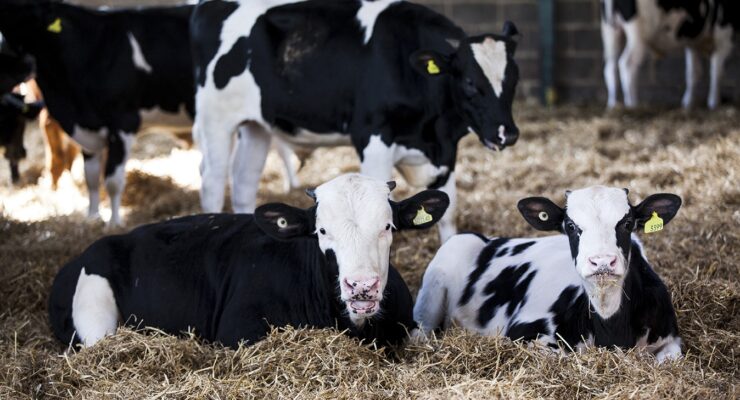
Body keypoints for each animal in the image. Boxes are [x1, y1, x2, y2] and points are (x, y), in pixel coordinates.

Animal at [191, 0, 521, 241]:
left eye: (514, 78)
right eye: (469, 82)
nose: (507, 134)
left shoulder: (447, 150)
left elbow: (448, 214)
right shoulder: (372, 138)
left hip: (256, 126)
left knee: (244, 183)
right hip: (216, 121)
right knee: (213, 182)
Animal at [414, 186, 683, 363]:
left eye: (627, 223)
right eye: (571, 226)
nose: (602, 261)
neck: (613, 330)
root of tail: (487, 239)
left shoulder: (671, 340)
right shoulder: (523, 333)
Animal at [601, 0, 739, 109]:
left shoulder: (693, 43)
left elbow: (693, 73)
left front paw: (688, 103)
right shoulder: (724, 34)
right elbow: (717, 72)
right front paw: (714, 103)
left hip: (610, 31)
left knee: (610, 67)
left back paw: (612, 105)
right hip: (638, 35)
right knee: (627, 64)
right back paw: (632, 104)